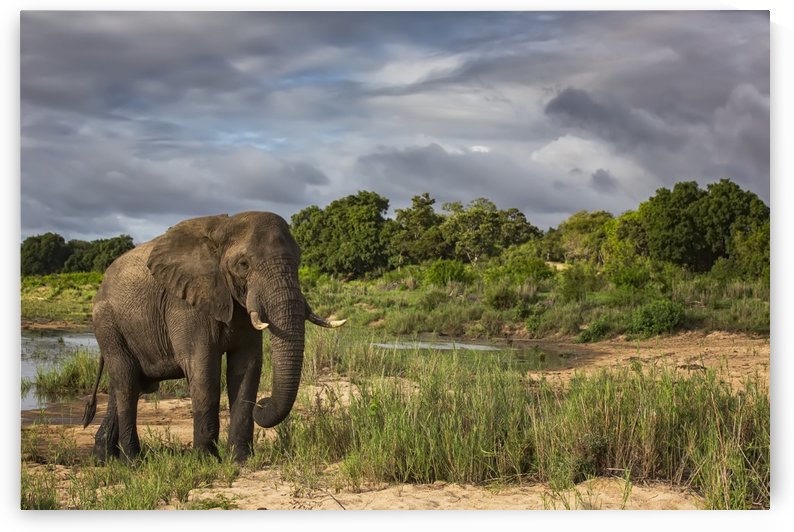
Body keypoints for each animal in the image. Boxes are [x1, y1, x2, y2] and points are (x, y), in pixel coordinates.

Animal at [81, 211, 345, 462]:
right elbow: (204, 370)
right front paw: (206, 459)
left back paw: (105, 459)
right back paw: (134, 461)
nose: (263, 403)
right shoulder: (185, 302)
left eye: (298, 260)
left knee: (126, 385)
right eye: (243, 264)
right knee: (126, 383)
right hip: (108, 325)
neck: (222, 230)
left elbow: (246, 368)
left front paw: (240, 459)